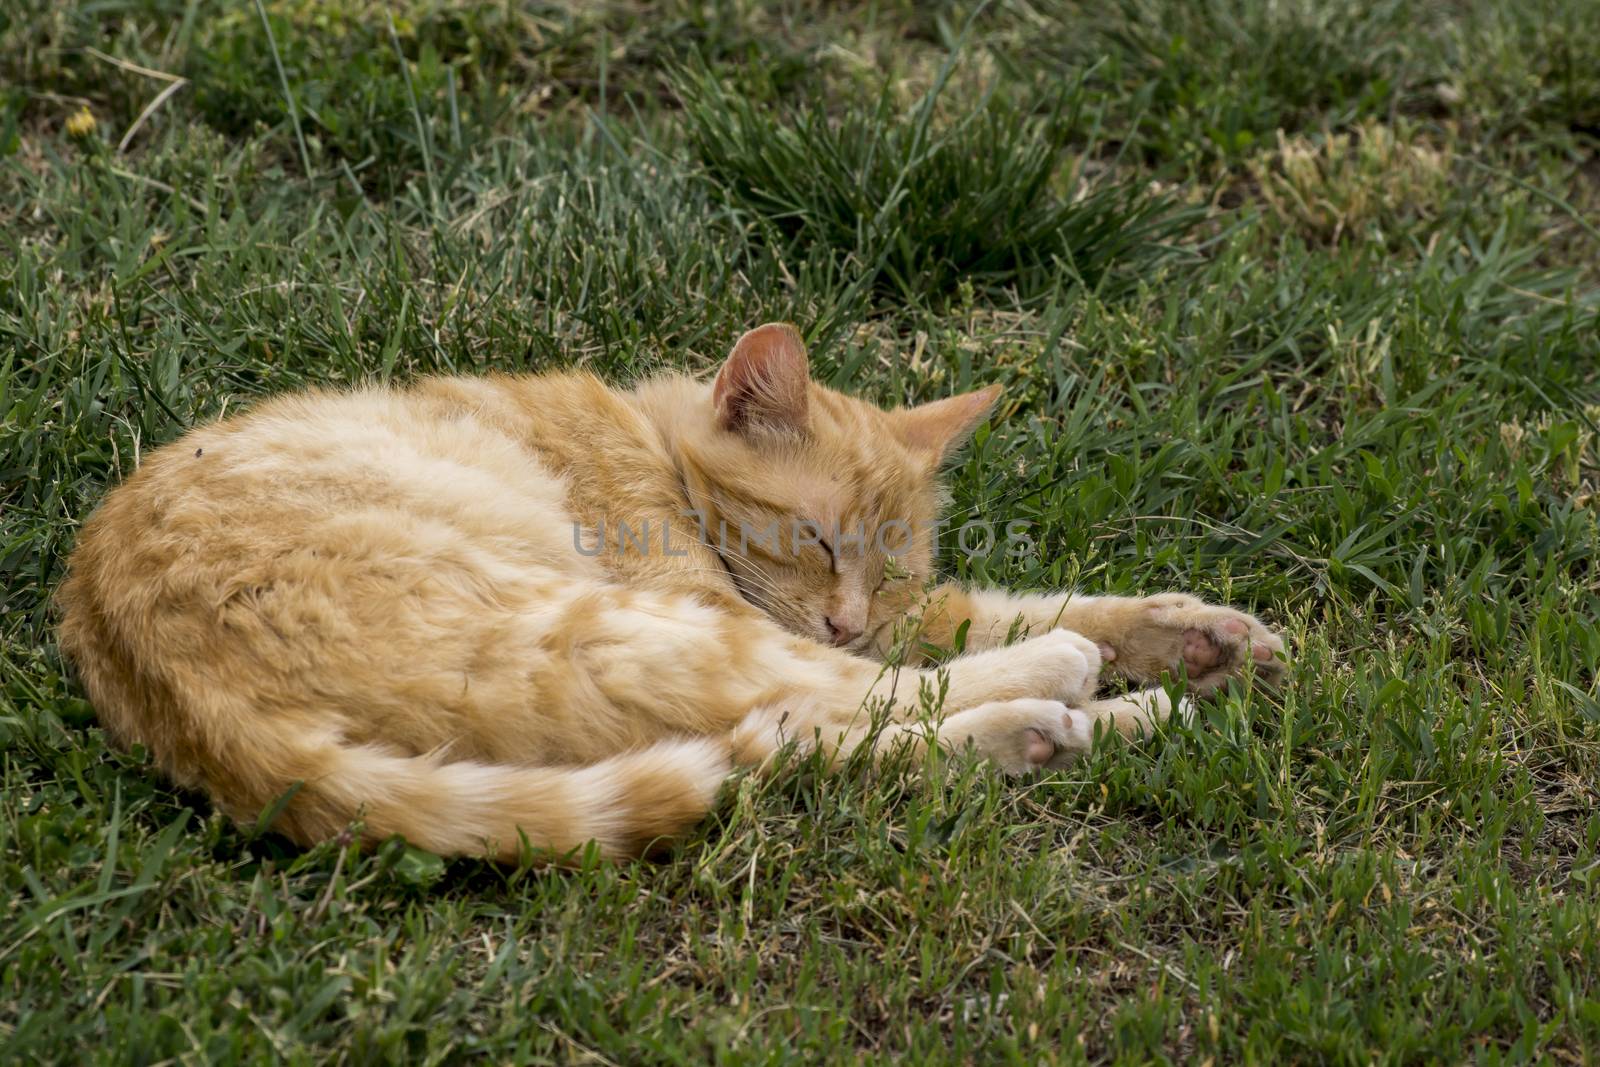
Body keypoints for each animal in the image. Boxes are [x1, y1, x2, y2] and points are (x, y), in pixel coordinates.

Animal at [59, 323, 1286, 857]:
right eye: (813, 538)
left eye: (889, 562)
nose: (848, 610)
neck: (652, 450)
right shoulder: (742, 604)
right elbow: (956, 645)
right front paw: (1119, 653)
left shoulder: (894, 619)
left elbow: (1001, 607)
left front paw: (1196, 632)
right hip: (611, 622)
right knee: (830, 707)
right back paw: (1071, 707)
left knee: (795, 736)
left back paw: (1107, 718)